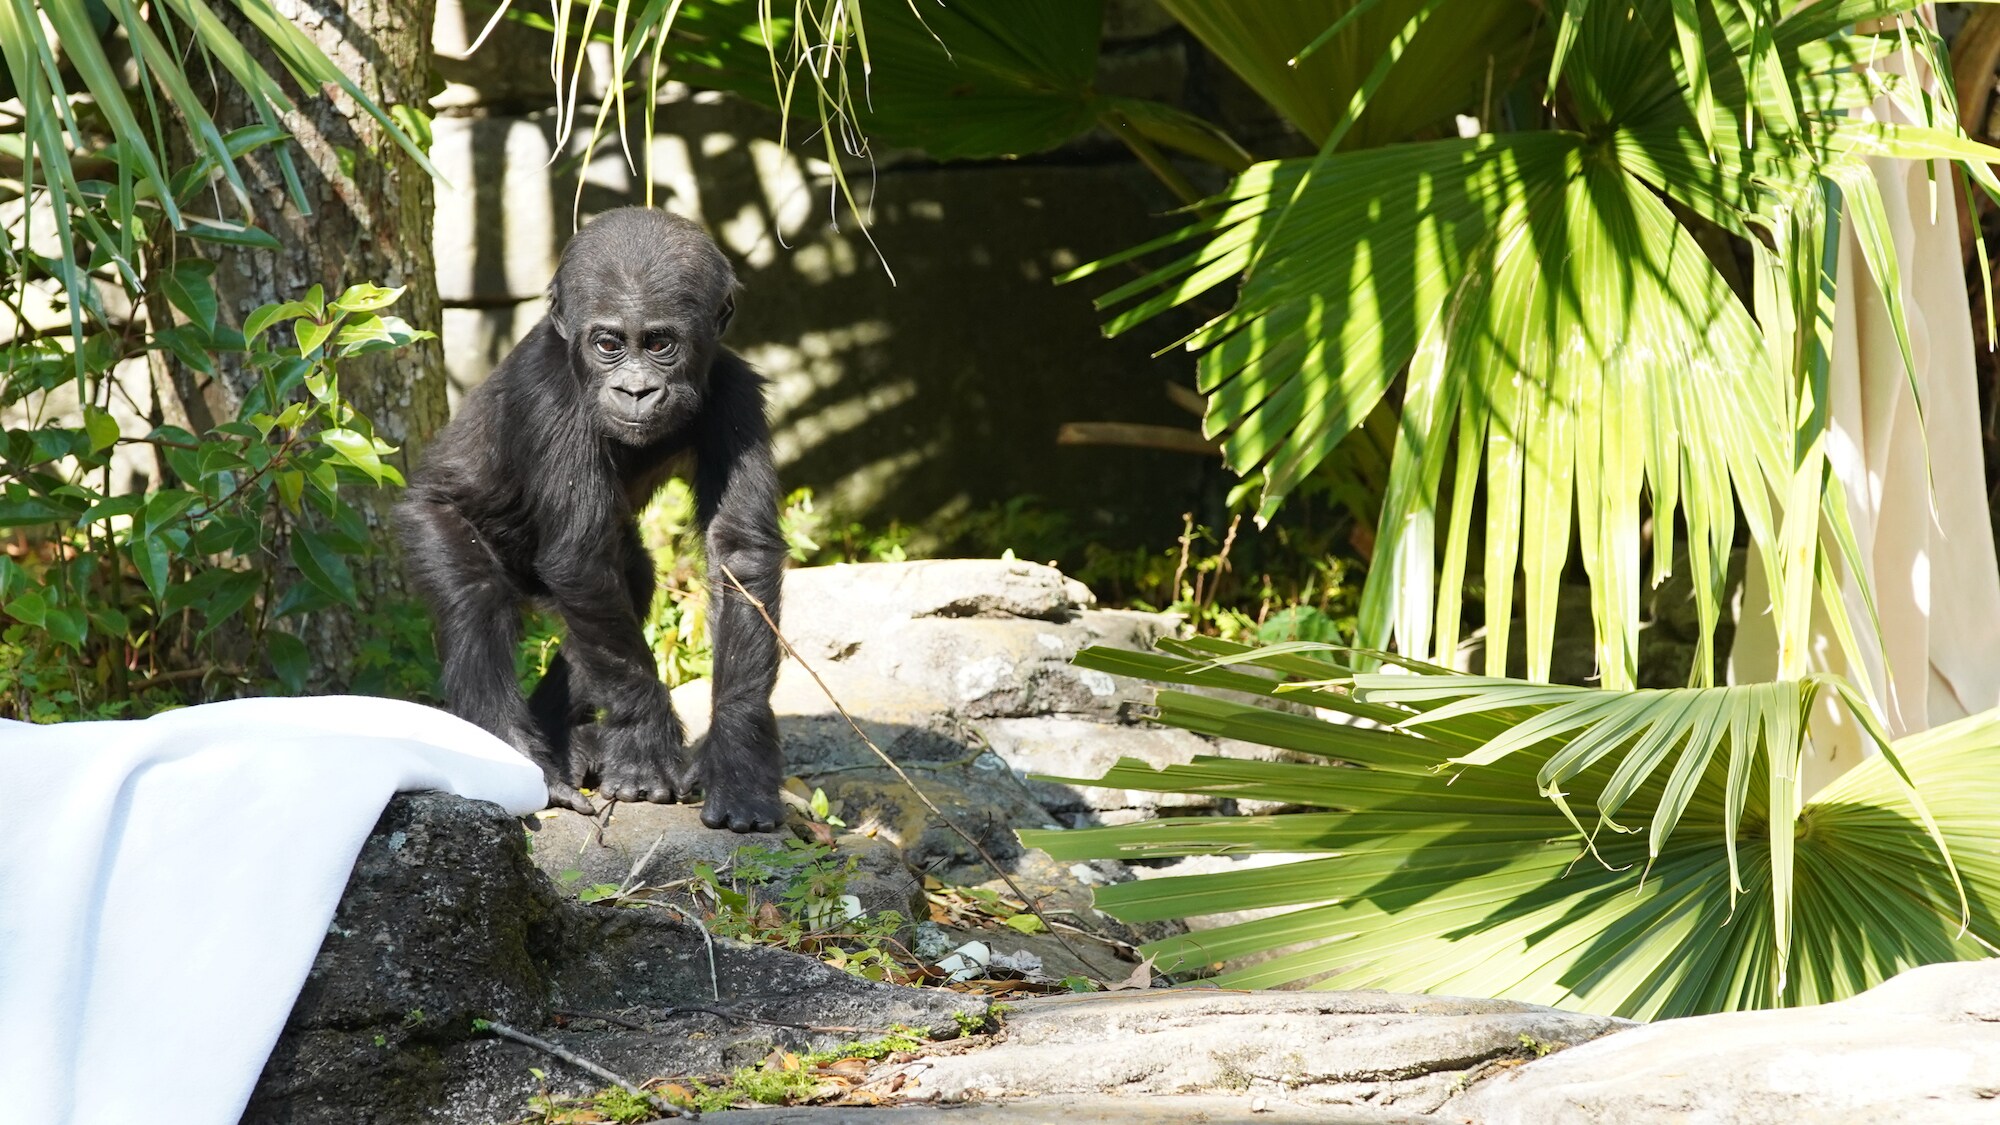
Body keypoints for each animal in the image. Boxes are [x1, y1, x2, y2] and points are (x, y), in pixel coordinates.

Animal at [398, 206, 788, 828]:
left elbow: (739, 555)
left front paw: (739, 759)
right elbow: (580, 560)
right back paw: (517, 751)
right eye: (609, 343)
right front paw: (647, 744)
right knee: (477, 602)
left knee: (626, 583)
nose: (635, 390)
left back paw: (564, 742)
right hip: (429, 515)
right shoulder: (550, 396)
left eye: (659, 343)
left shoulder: (737, 394)